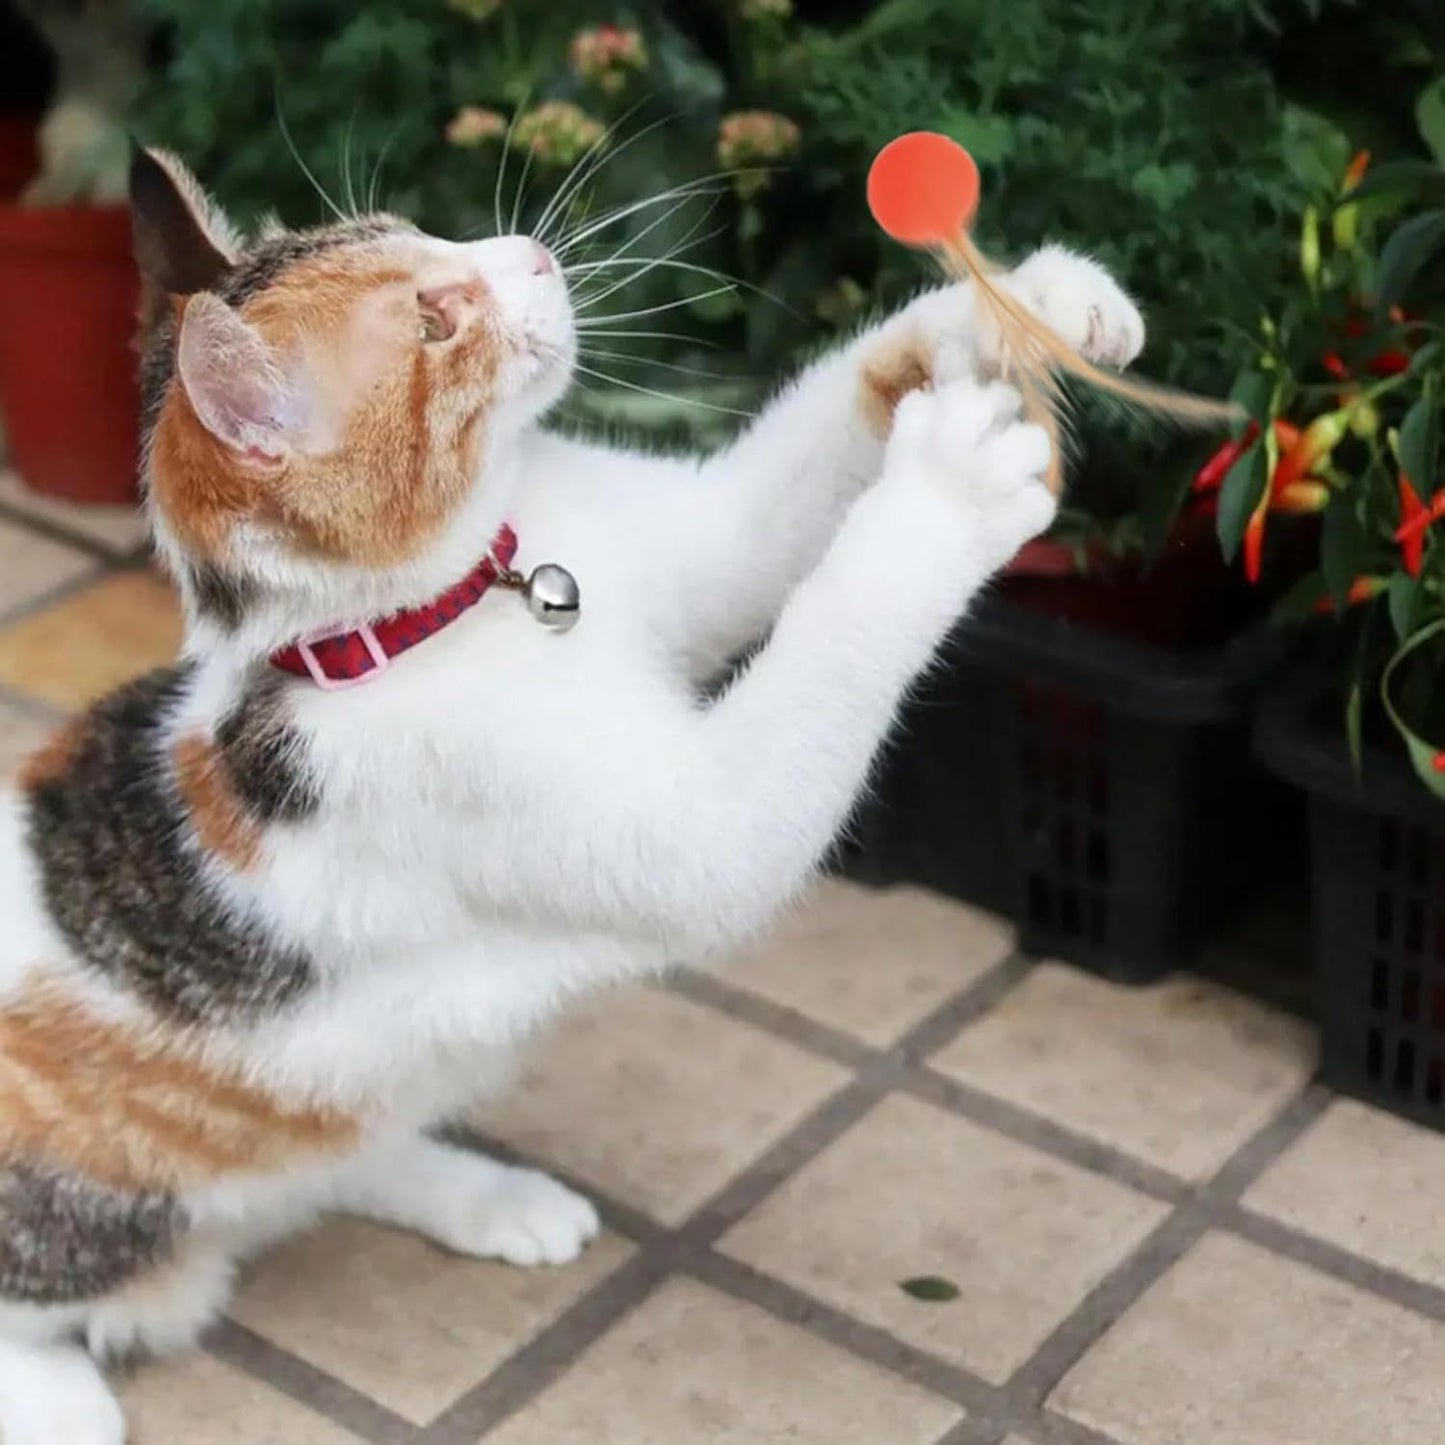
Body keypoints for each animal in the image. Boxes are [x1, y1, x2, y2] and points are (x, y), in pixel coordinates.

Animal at [0, 140, 1138, 1439]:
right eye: (436, 319)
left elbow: (795, 460)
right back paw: (60, 1395)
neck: (458, 605)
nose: (531, 253)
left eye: (417, 230)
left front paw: (1032, 301)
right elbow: (800, 698)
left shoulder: (693, 544)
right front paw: (951, 486)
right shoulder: (654, 820)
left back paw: (485, 1195)